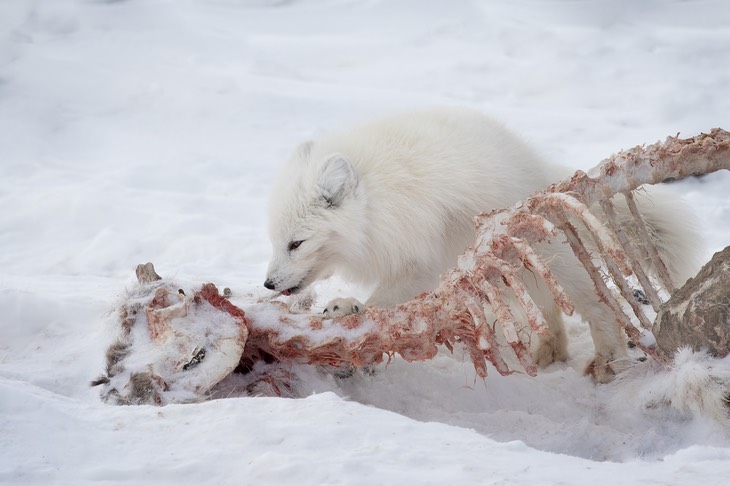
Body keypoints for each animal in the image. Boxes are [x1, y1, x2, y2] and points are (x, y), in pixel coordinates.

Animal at [264, 107, 700, 384]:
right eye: (274, 241)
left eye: (296, 243)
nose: (268, 283)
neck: (380, 196)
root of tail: (540, 169)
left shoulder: (423, 255)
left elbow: (385, 302)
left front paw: (349, 310)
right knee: (543, 308)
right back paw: (548, 350)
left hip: (541, 256)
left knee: (596, 305)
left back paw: (609, 362)